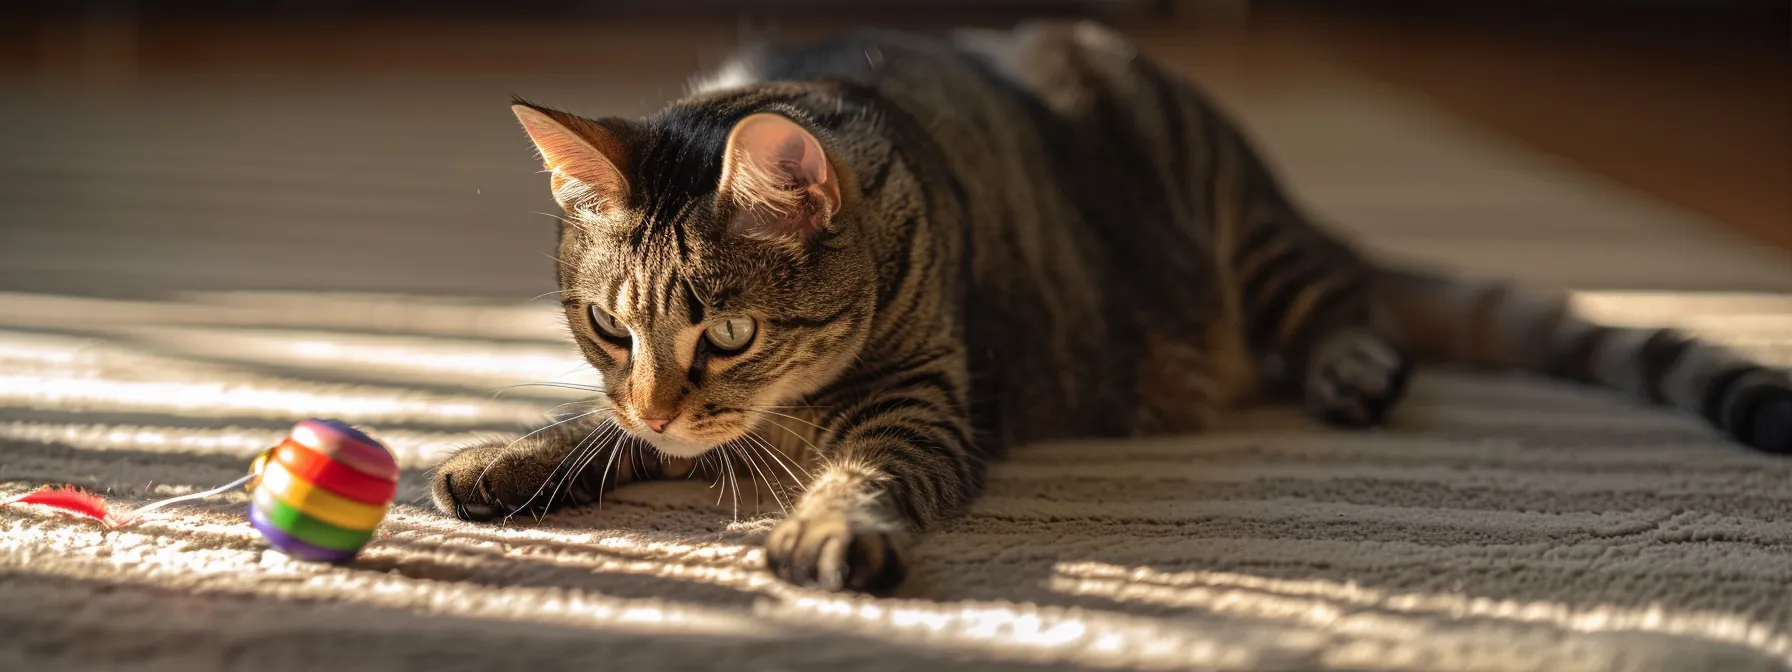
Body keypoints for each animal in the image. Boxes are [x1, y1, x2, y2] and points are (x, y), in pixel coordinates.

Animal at [433, 21, 1792, 594]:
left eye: (728, 333)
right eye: (608, 328)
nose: (666, 408)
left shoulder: (927, 408)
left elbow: (861, 473)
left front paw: (823, 525)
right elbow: (590, 428)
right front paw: (511, 453)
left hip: (1233, 228)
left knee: (1344, 298)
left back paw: (1351, 367)